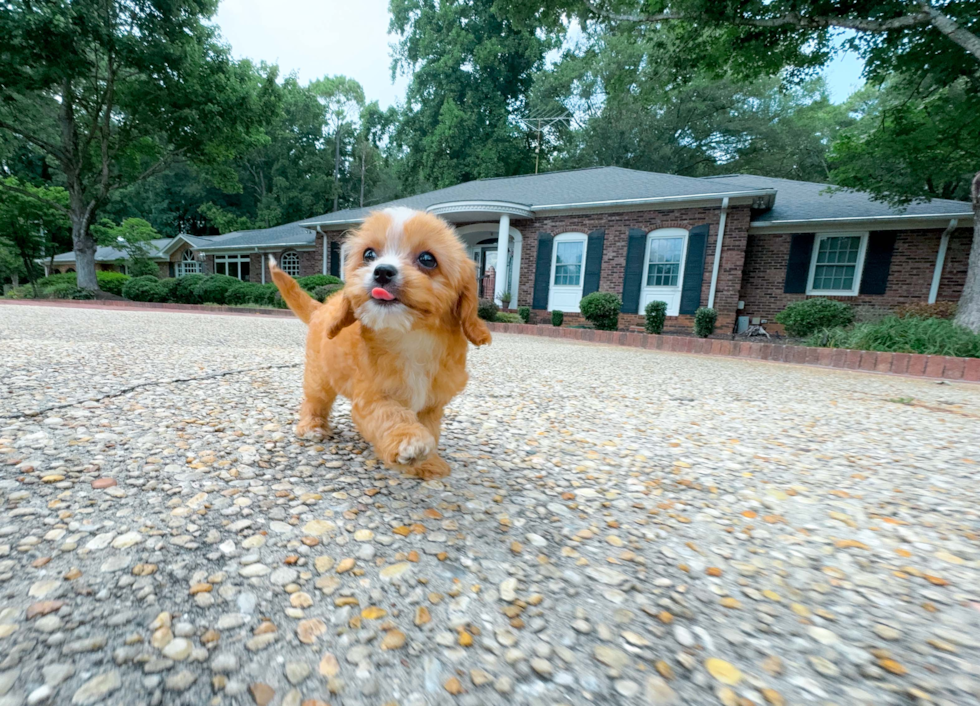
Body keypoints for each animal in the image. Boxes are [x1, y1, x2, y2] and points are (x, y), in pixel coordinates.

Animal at [268, 205, 490, 478]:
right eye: (369, 254)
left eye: (427, 259)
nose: (382, 270)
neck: (410, 336)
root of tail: (321, 308)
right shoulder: (372, 396)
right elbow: (391, 415)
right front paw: (408, 440)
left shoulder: (432, 403)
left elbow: (430, 428)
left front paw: (427, 463)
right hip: (319, 375)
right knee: (315, 400)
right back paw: (312, 426)